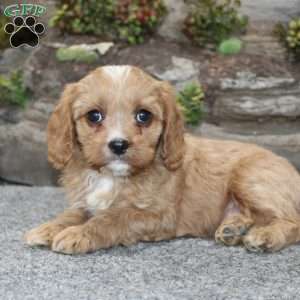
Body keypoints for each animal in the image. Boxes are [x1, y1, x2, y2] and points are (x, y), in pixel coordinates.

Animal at [24, 65, 300, 253]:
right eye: (94, 116)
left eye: (143, 116)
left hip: (249, 179)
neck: (113, 176)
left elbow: (112, 218)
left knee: (293, 221)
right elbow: (72, 213)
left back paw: (264, 236)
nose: (119, 144)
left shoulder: (157, 215)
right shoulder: (85, 201)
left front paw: (79, 235)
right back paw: (234, 229)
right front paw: (48, 228)